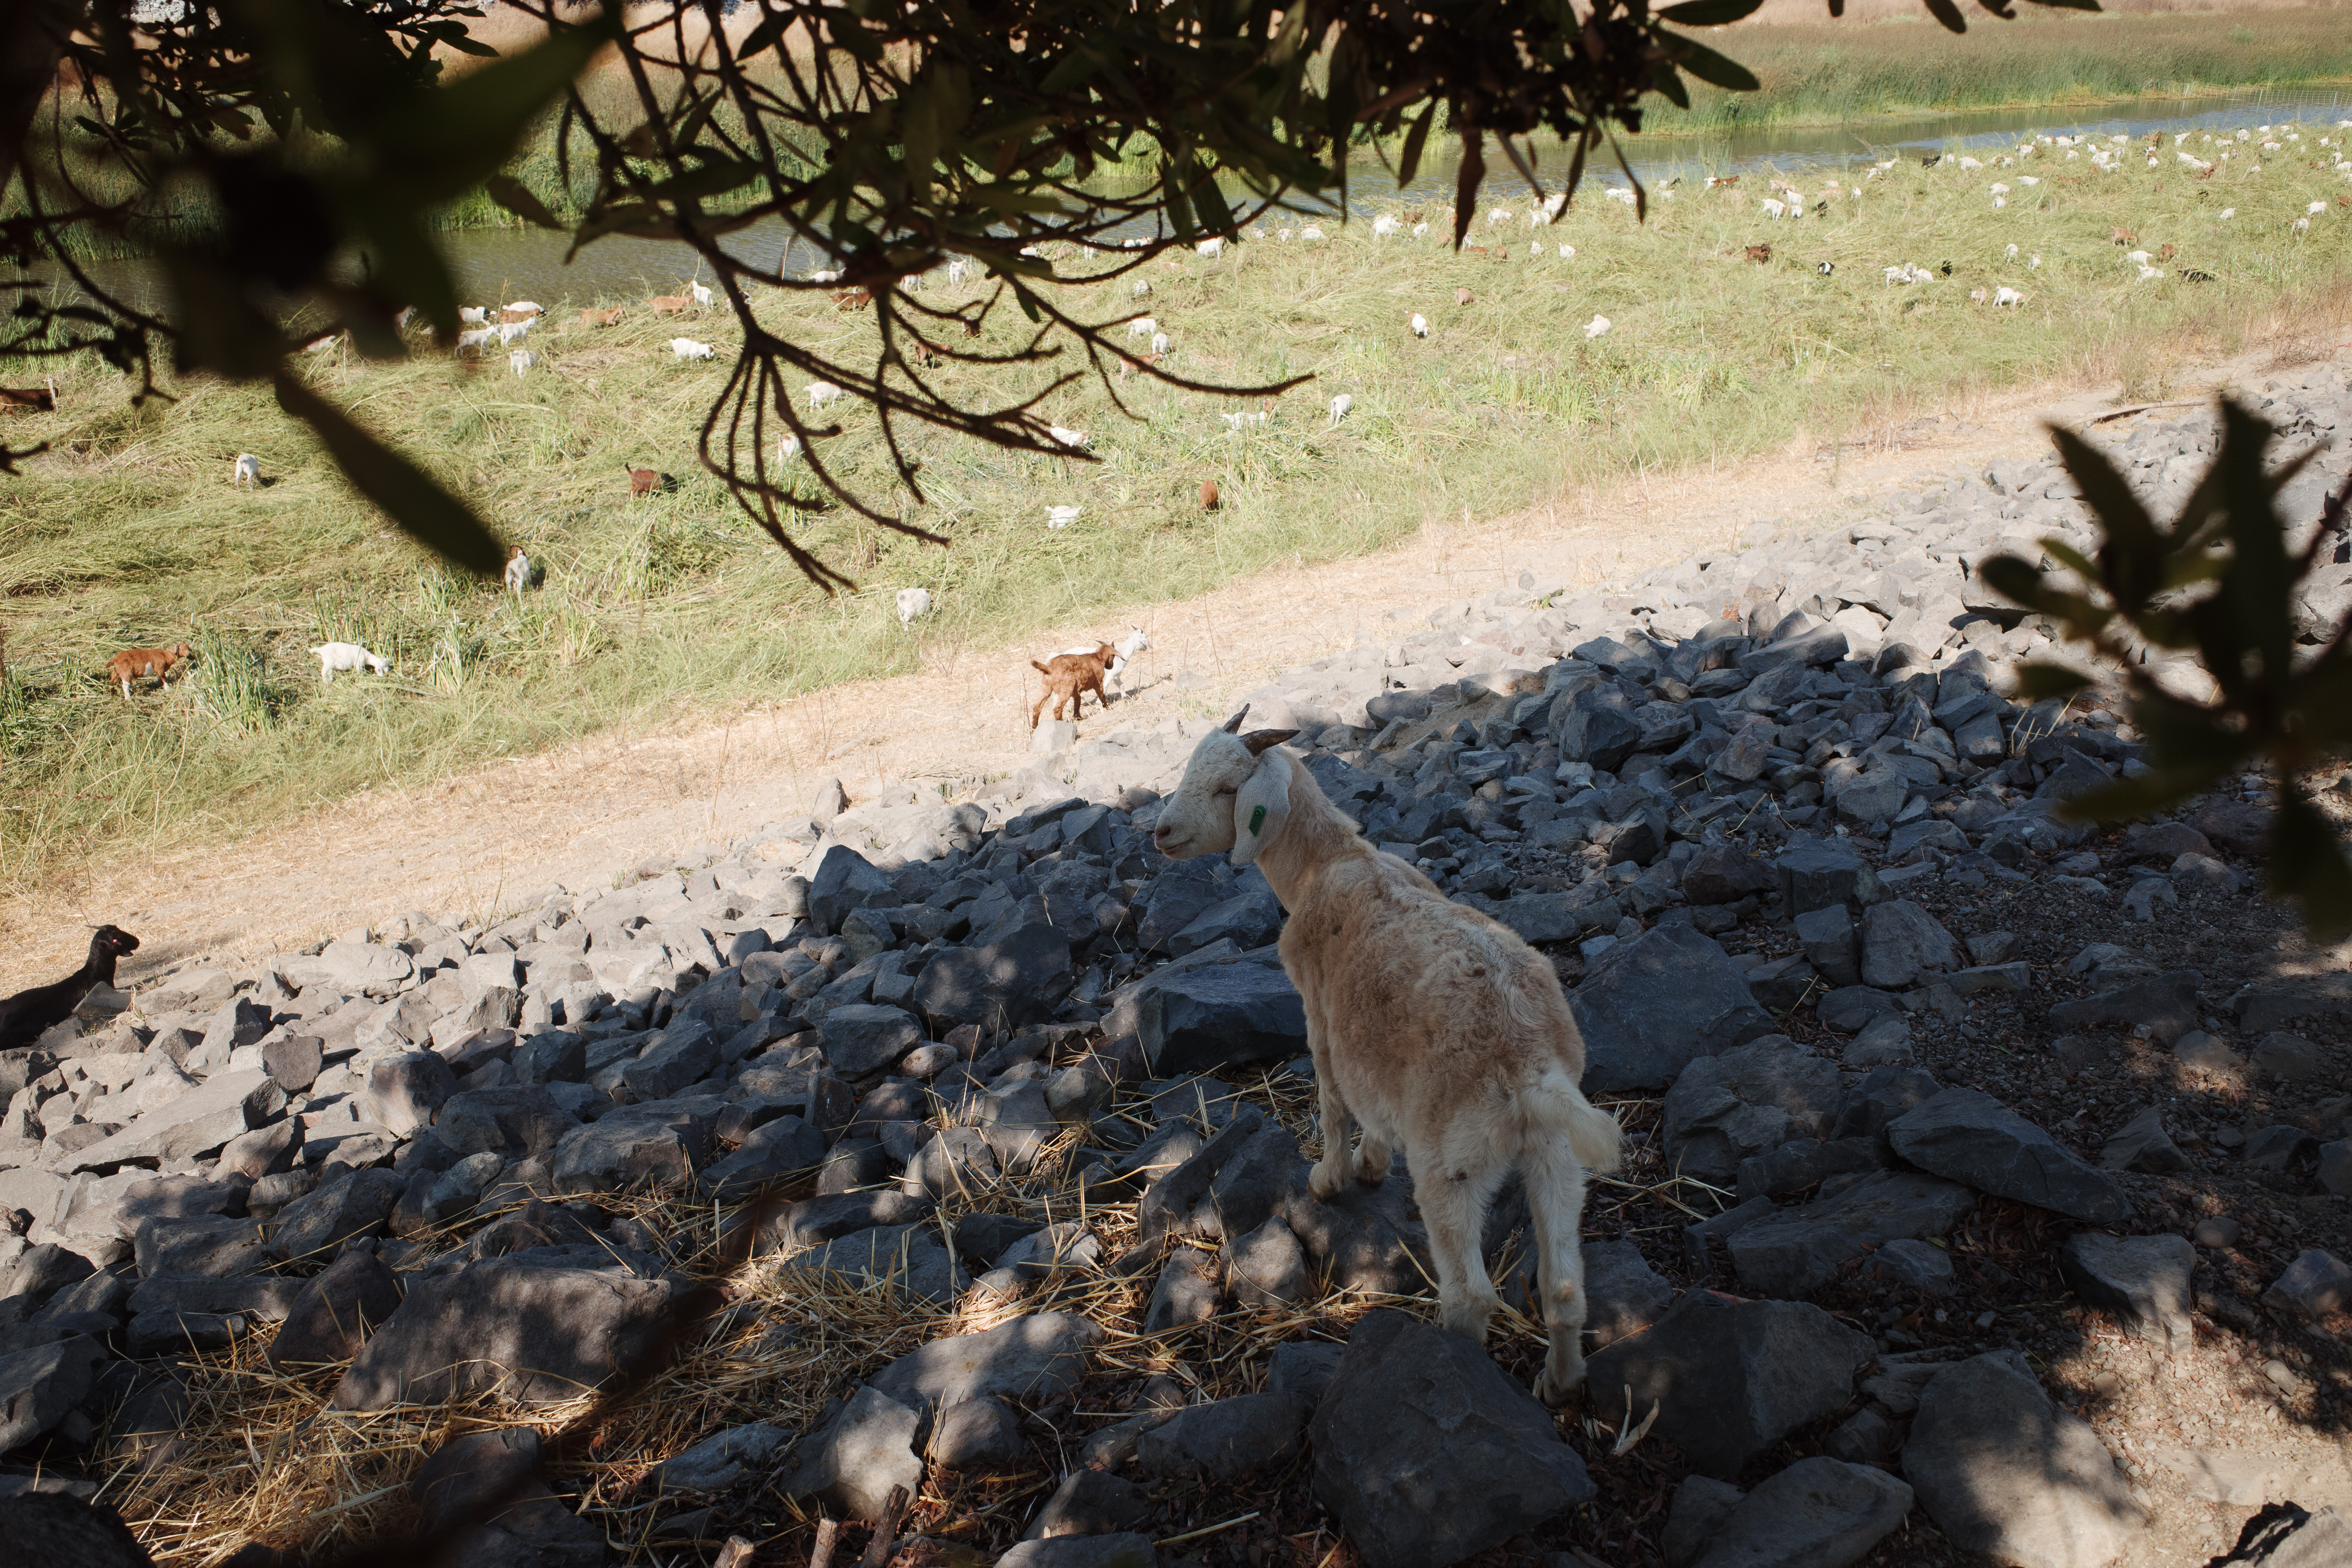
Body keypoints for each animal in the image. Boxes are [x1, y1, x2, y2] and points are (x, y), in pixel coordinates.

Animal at [105, 642, 190, 699]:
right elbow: (164, 678)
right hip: (126, 672)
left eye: (188, 647)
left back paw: (112, 696)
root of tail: (115, 659)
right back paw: (128, 698)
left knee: (111, 683)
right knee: (125, 686)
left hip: (116, 672)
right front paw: (168, 689)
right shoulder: (160, 668)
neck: (166, 656)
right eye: (181, 648)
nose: (189, 654)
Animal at [311, 642, 390, 682]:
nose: (388, 671)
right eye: (383, 667)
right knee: (324, 671)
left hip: (330, 663)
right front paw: (362, 678)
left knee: (329, 672)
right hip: (329, 661)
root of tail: (321, 649)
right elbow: (360, 671)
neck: (367, 656)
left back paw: (332, 679)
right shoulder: (359, 663)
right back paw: (326, 682)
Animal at [1030, 643, 1115, 727]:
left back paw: (1034, 727)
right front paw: (1108, 708)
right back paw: (1061, 723)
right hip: (1067, 688)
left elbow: (1078, 702)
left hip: (1046, 687)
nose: (1112, 666)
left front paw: (1078, 718)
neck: (1098, 657)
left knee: (1037, 708)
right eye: (1113, 657)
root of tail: (1049, 668)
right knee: (1057, 708)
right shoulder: (1098, 683)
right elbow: (1102, 696)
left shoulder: (1076, 691)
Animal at [1151, 710, 1623, 1403]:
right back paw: (1560, 1385)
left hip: (1449, 1161)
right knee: (1563, 1287)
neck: (1326, 863)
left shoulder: (1320, 1016)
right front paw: (1372, 1163)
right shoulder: (1370, 1048)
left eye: (1226, 790)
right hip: (1556, 1153)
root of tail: (1529, 1065)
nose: (1159, 832)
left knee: (1471, 1294)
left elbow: (1333, 1100)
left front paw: (1331, 1178)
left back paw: (1452, 1361)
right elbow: (1370, 1103)